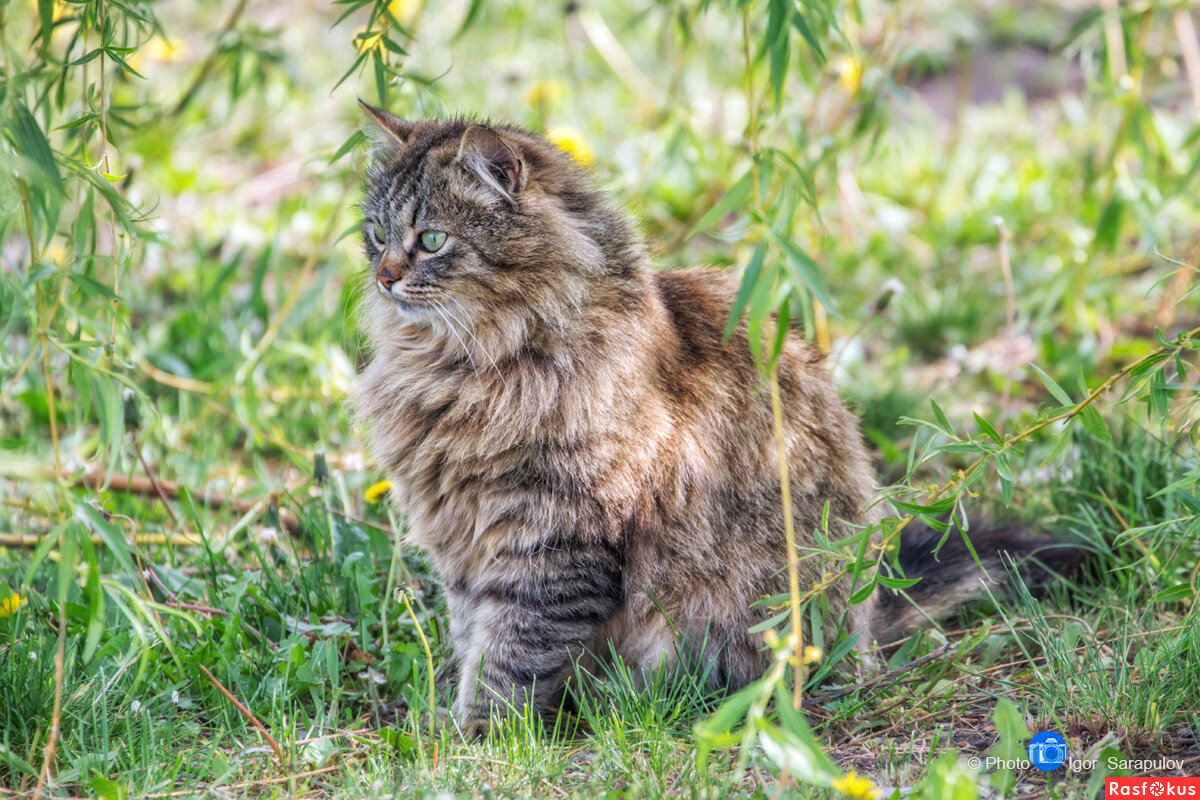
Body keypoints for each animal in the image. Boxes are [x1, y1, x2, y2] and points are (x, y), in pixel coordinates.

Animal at [350, 103, 1075, 734]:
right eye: (376, 236)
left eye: (432, 240)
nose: (384, 277)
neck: (462, 365)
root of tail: (869, 619)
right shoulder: (463, 539)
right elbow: (472, 638)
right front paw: (453, 721)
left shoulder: (551, 541)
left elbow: (509, 654)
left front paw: (475, 734)